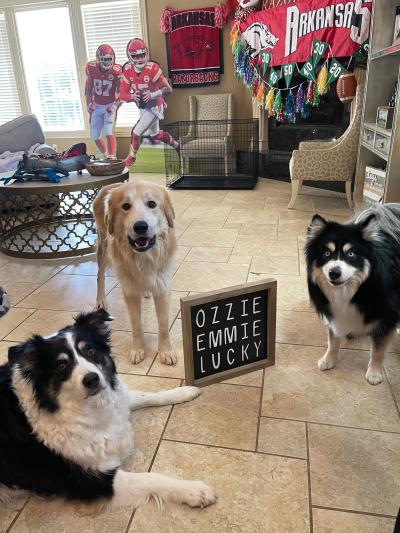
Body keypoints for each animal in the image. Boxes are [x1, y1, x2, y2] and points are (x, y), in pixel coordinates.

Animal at [0, 308, 216, 512]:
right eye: (61, 365)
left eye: (90, 351)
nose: (92, 379)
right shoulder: (94, 482)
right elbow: (151, 477)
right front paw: (193, 490)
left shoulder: (116, 398)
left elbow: (148, 395)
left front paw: (185, 391)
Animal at [93, 181, 177, 364]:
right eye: (125, 206)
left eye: (152, 204)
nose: (140, 227)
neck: (144, 258)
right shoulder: (130, 292)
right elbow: (136, 325)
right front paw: (138, 350)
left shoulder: (162, 289)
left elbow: (163, 325)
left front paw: (165, 351)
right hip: (103, 249)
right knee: (99, 276)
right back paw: (101, 300)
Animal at [304, 203, 400, 382]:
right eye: (326, 253)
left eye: (351, 254)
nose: (334, 273)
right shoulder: (332, 313)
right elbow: (333, 341)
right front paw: (328, 360)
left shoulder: (385, 317)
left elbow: (378, 349)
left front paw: (374, 373)